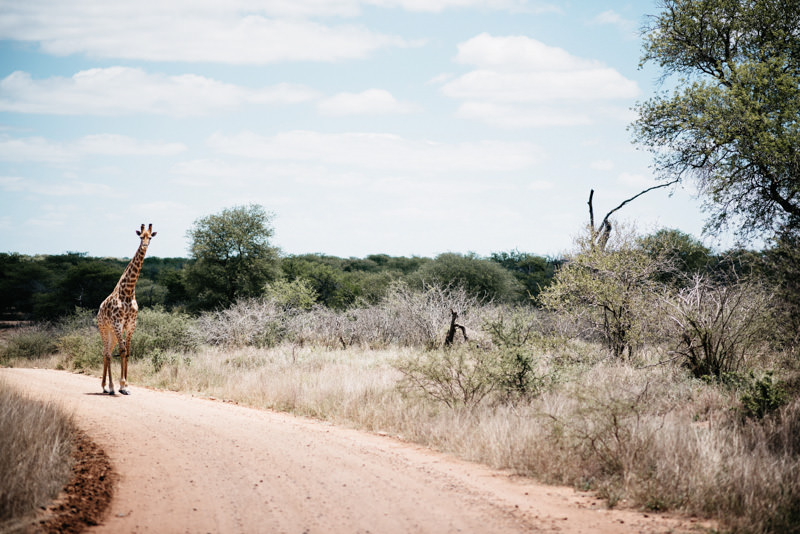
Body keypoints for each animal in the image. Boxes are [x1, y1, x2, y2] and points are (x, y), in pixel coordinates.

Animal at [97, 223, 157, 395]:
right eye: (140, 237)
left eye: (150, 237)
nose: (144, 246)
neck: (129, 291)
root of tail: (98, 309)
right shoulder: (118, 323)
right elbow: (123, 351)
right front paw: (121, 384)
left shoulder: (130, 324)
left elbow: (128, 351)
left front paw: (125, 386)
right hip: (104, 328)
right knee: (107, 353)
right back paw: (108, 387)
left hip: (113, 332)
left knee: (108, 352)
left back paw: (105, 386)